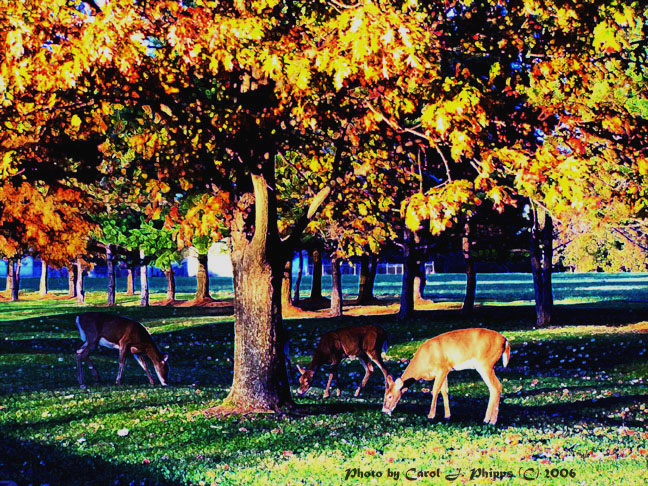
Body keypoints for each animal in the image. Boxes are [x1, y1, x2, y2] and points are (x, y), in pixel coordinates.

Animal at [380, 326, 512, 426]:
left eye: (390, 396)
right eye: (385, 394)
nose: (384, 410)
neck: (423, 364)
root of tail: (505, 340)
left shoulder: (442, 368)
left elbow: (434, 390)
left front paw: (431, 415)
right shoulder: (446, 370)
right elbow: (444, 391)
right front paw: (447, 416)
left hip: (485, 364)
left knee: (497, 386)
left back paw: (492, 421)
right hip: (486, 365)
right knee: (493, 388)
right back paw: (487, 419)